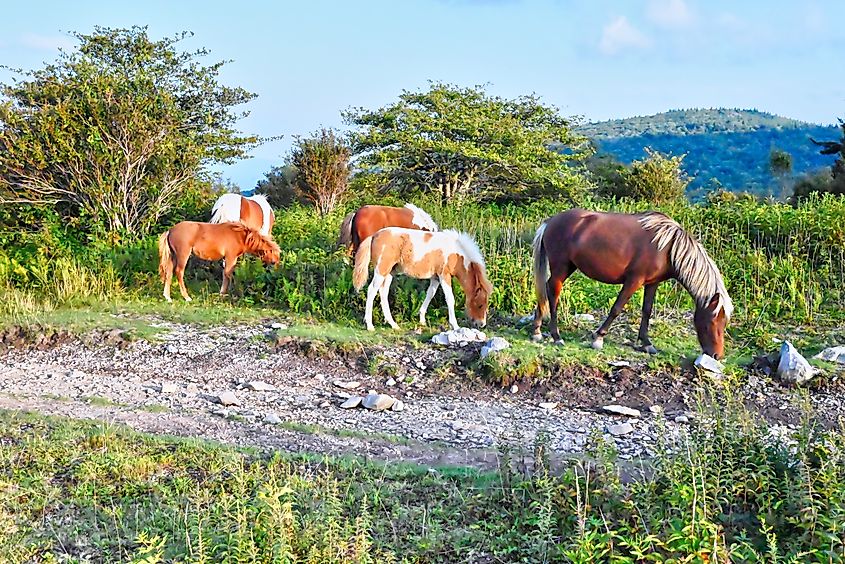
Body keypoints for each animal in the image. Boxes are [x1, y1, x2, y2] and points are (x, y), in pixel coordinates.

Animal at [353, 228, 493, 331]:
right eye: (480, 304)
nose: (481, 324)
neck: (456, 253)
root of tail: (374, 235)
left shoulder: (436, 278)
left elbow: (430, 294)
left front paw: (422, 320)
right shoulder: (444, 275)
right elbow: (450, 299)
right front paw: (455, 325)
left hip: (389, 272)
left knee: (383, 292)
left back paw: (393, 324)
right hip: (381, 270)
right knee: (371, 290)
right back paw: (370, 325)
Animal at [531, 209, 733, 359]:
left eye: (724, 323)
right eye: (711, 322)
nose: (717, 356)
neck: (667, 246)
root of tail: (551, 221)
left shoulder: (652, 283)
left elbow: (647, 311)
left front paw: (647, 343)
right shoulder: (634, 281)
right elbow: (617, 308)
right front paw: (598, 338)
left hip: (568, 267)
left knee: (545, 289)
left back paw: (537, 331)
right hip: (561, 267)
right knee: (553, 293)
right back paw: (556, 336)